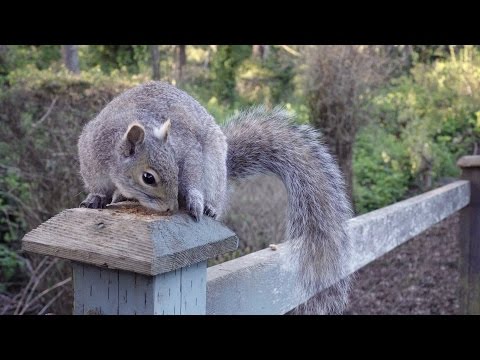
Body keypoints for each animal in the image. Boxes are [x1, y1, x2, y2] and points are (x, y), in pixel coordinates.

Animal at [78, 81, 352, 316]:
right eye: (148, 177)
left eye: (176, 166)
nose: (170, 208)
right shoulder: (91, 158)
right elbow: (99, 188)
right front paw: (97, 199)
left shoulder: (187, 149)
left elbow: (192, 174)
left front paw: (194, 201)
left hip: (213, 171)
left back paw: (209, 207)